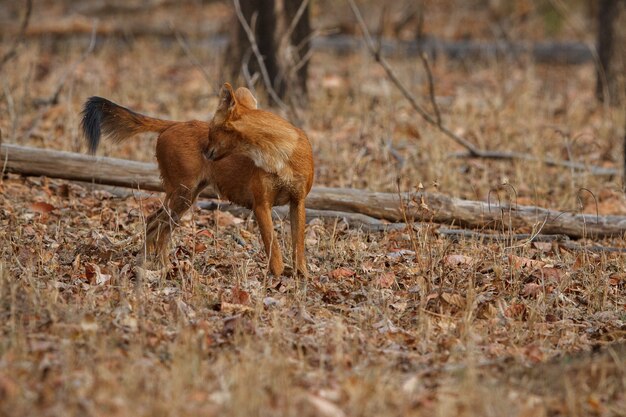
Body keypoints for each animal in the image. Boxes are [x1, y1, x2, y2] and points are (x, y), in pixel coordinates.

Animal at [205, 81, 312, 276]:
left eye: (210, 129)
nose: (203, 150)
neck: (279, 157)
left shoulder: (298, 200)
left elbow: (298, 245)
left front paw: (302, 276)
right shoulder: (261, 203)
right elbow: (273, 247)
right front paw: (277, 277)